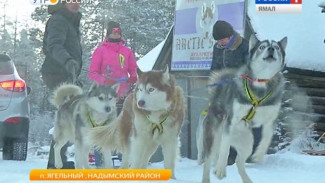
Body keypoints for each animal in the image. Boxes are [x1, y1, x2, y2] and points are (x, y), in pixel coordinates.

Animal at [200, 34, 286, 183]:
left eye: (276, 47)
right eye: (262, 47)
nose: (270, 49)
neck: (261, 82)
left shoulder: (270, 120)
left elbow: (267, 137)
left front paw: (259, 154)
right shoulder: (231, 121)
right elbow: (225, 149)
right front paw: (220, 169)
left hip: (247, 144)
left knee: (239, 162)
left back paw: (247, 179)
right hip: (214, 138)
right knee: (209, 159)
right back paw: (208, 176)